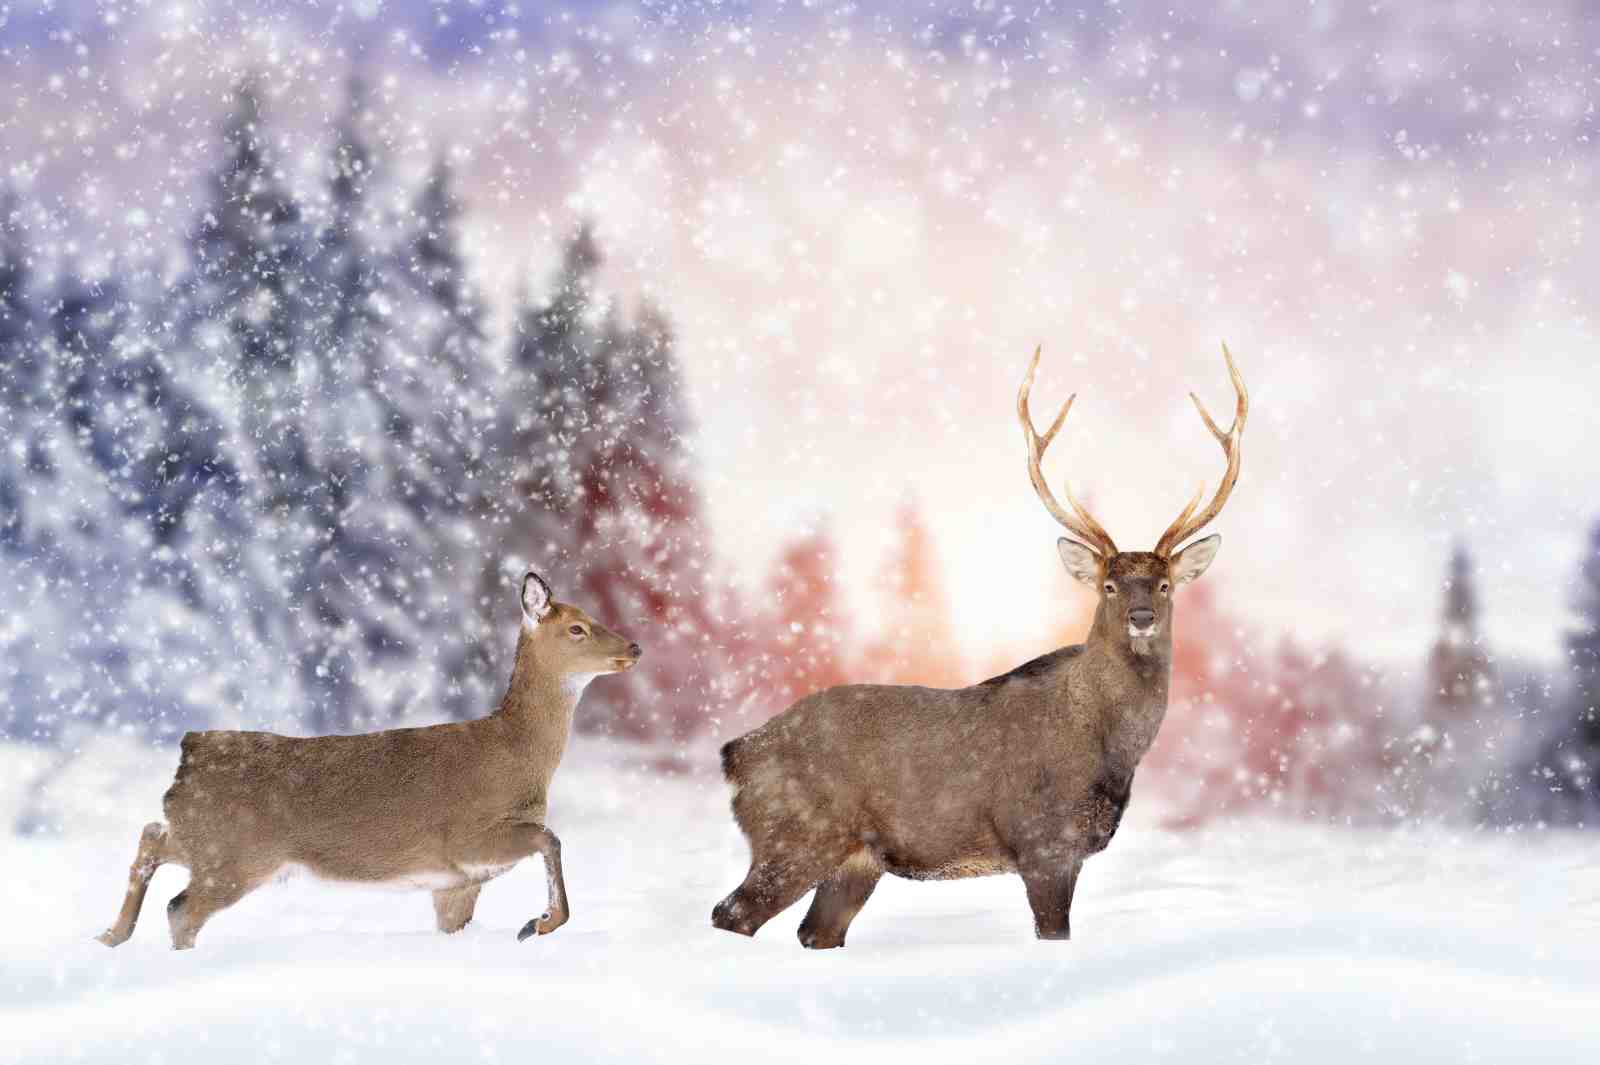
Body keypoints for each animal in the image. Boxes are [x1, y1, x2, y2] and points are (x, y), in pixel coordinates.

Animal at [95, 571, 641, 950]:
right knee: (181, 907)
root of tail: (190, 751)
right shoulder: (467, 834)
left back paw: (110, 935)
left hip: (206, 840)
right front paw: (538, 924)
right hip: (237, 853)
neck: (518, 754)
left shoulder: (455, 883)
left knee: (152, 836)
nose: (634, 646)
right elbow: (551, 837)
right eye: (577, 628)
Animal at [712, 344, 1248, 948]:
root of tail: (737, 755)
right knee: (730, 914)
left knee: (813, 932)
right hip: (796, 834)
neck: (1109, 746)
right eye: (1109, 585)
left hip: (854, 862)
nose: (1141, 617)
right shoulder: (1043, 841)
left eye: (1164, 584)